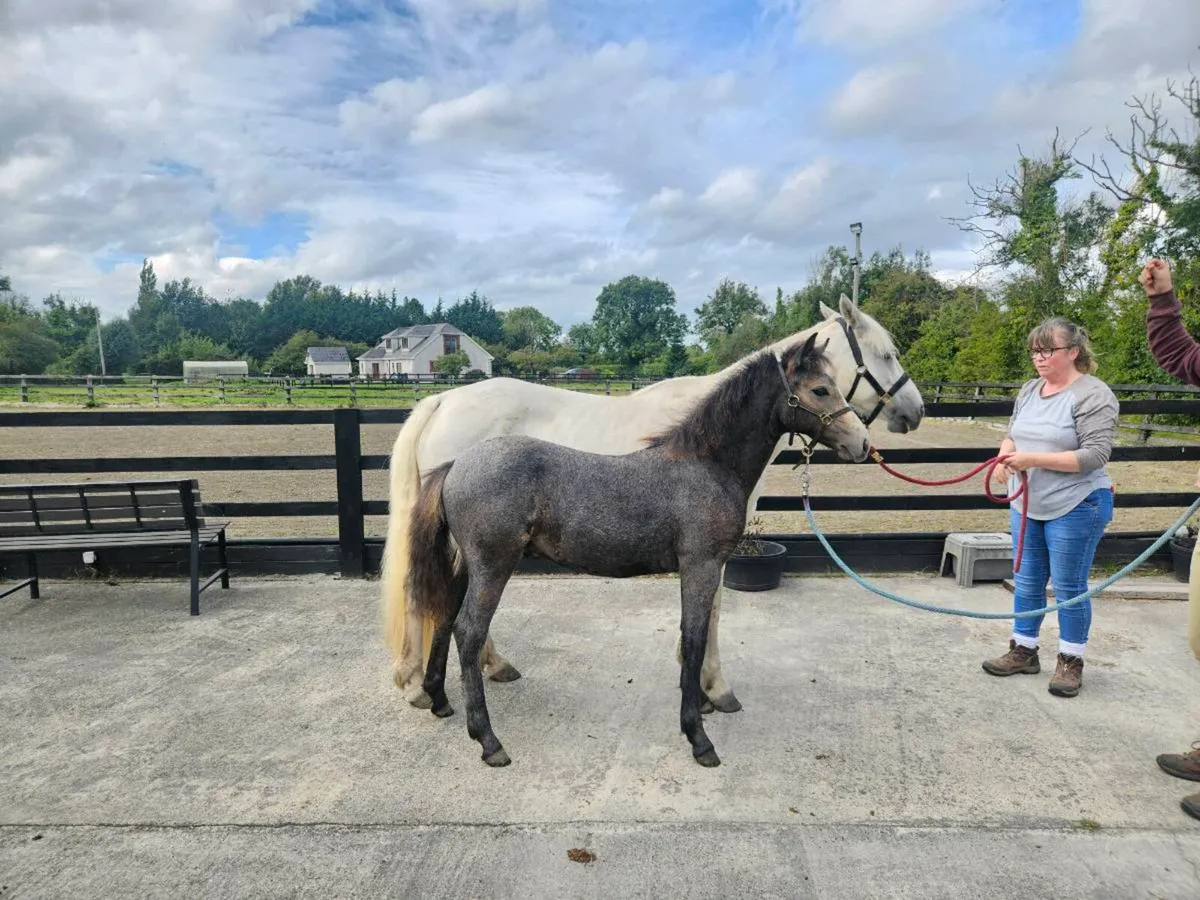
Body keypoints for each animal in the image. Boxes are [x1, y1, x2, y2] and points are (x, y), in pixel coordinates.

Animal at [382, 292, 924, 713]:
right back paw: (420, 686)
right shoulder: (707, 553)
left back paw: (486, 667)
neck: (704, 446)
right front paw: (715, 688)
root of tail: (442, 400)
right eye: (887, 354)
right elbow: (714, 612)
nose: (915, 412)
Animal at [407, 333, 871, 767]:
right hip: (492, 565)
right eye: (820, 390)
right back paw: (489, 741)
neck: (705, 465)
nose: (862, 444)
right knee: (469, 632)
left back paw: (439, 700)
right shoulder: (701, 565)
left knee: (445, 617)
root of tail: (455, 466)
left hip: (465, 564)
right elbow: (695, 639)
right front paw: (699, 738)